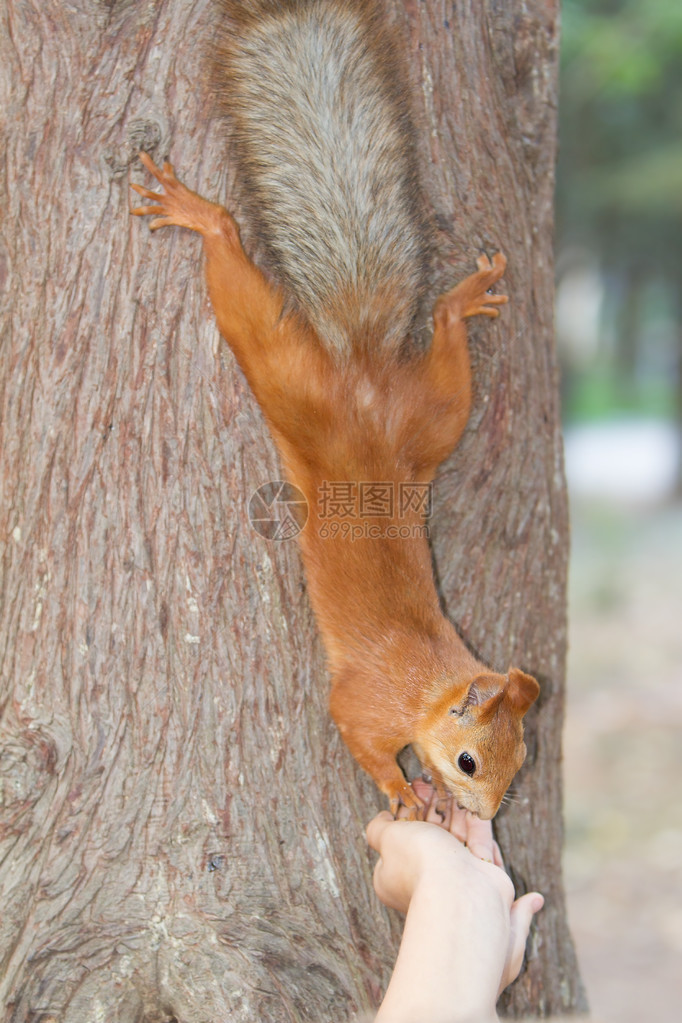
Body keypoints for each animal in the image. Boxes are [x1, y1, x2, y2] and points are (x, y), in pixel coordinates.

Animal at [131, 0, 539, 818]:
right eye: (471, 761)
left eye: (522, 761)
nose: (486, 817)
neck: (429, 681)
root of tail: (361, 375)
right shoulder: (365, 701)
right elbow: (356, 732)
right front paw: (404, 792)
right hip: (290, 378)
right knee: (238, 274)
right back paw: (198, 214)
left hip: (432, 420)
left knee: (441, 336)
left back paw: (462, 302)